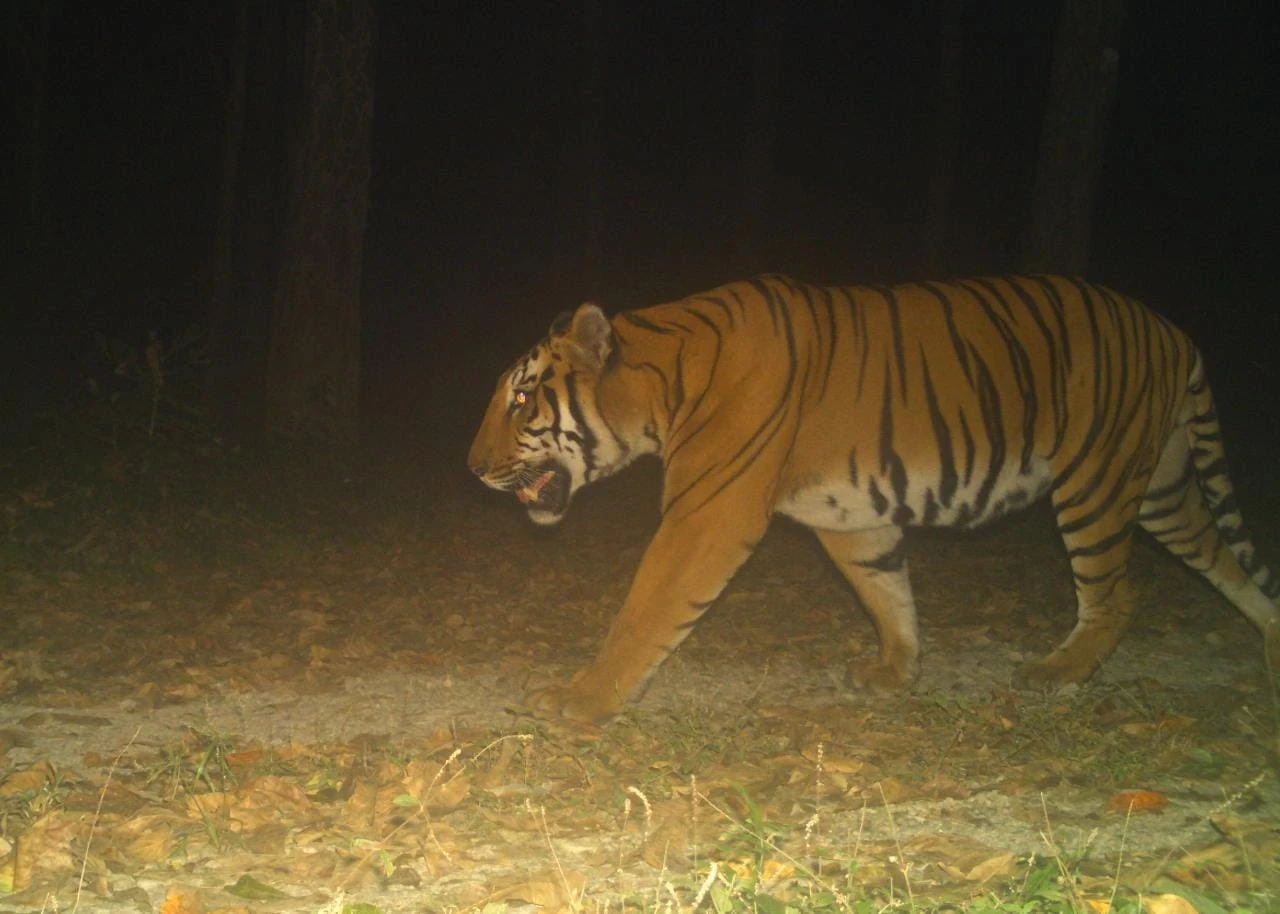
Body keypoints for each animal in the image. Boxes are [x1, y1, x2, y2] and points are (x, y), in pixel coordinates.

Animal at [468, 270, 1280, 716]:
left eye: (521, 399)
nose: (471, 469)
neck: (660, 384)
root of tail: (1173, 331)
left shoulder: (708, 513)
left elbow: (645, 610)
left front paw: (583, 700)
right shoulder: (852, 513)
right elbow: (887, 593)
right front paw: (896, 670)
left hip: (1096, 481)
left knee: (1116, 592)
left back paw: (1060, 670)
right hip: (1161, 484)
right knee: (1225, 559)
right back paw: (1271, 641)